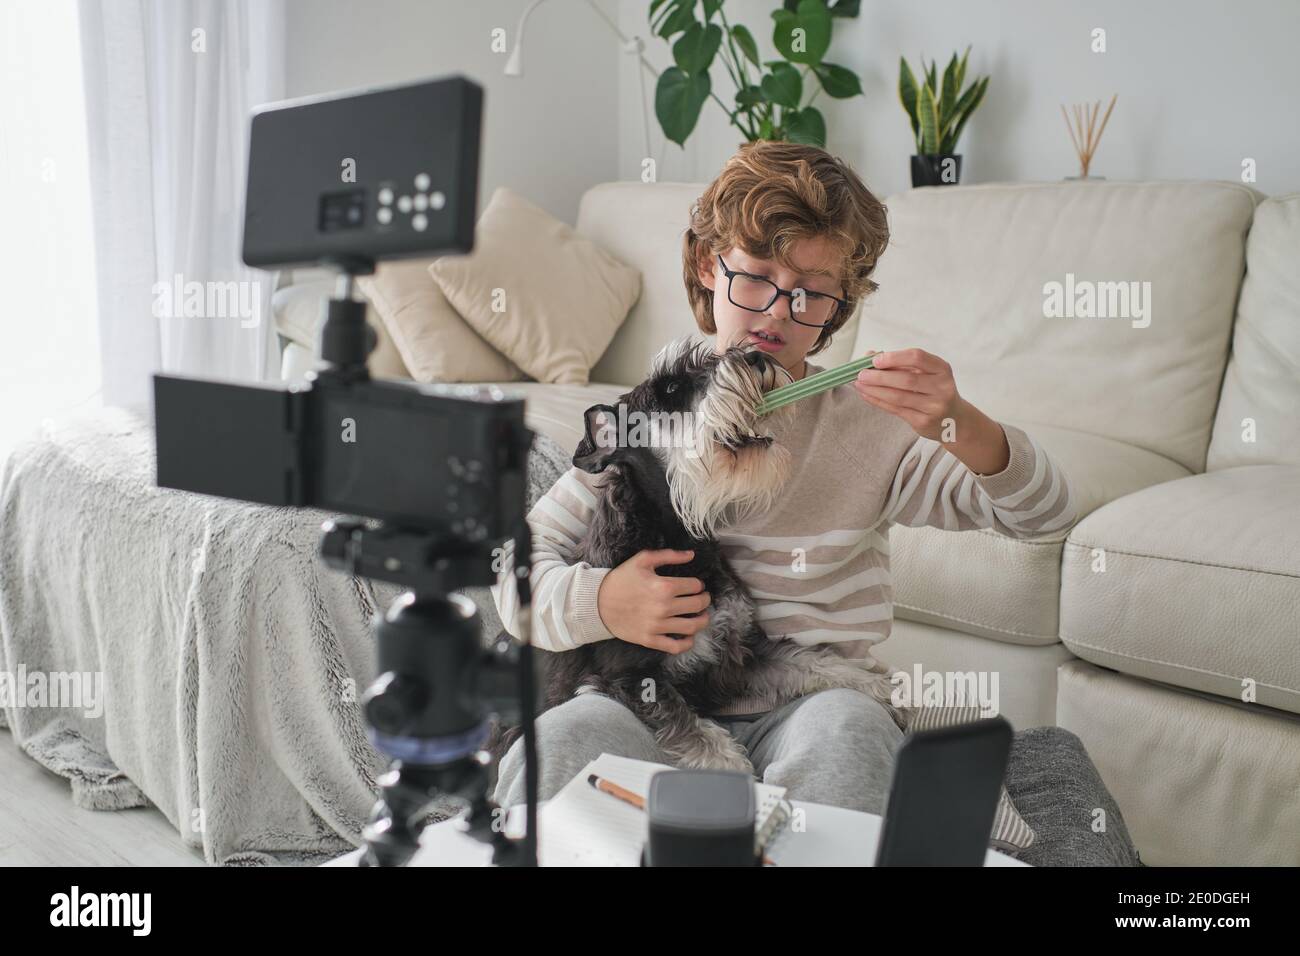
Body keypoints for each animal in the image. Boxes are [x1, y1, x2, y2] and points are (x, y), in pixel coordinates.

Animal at [491, 340, 899, 775]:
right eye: (669, 390)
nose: (755, 357)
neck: (672, 537)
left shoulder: (742, 650)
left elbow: (811, 662)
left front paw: (883, 689)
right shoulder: (630, 678)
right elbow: (693, 729)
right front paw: (734, 769)